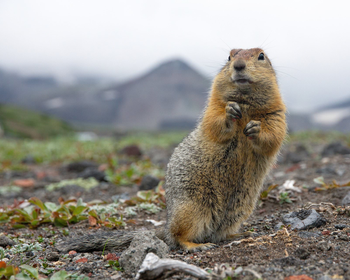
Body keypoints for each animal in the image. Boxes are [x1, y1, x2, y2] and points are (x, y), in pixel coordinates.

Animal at [58, 48, 288, 254]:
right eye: (229, 56)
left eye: (261, 55)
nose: (238, 65)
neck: (246, 103)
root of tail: (166, 227)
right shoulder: (213, 105)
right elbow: (214, 122)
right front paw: (229, 111)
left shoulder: (277, 113)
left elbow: (274, 135)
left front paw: (256, 129)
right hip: (192, 207)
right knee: (178, 238)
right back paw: (197, 245)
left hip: (239, 209)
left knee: (218, 233)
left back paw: (239, 233)